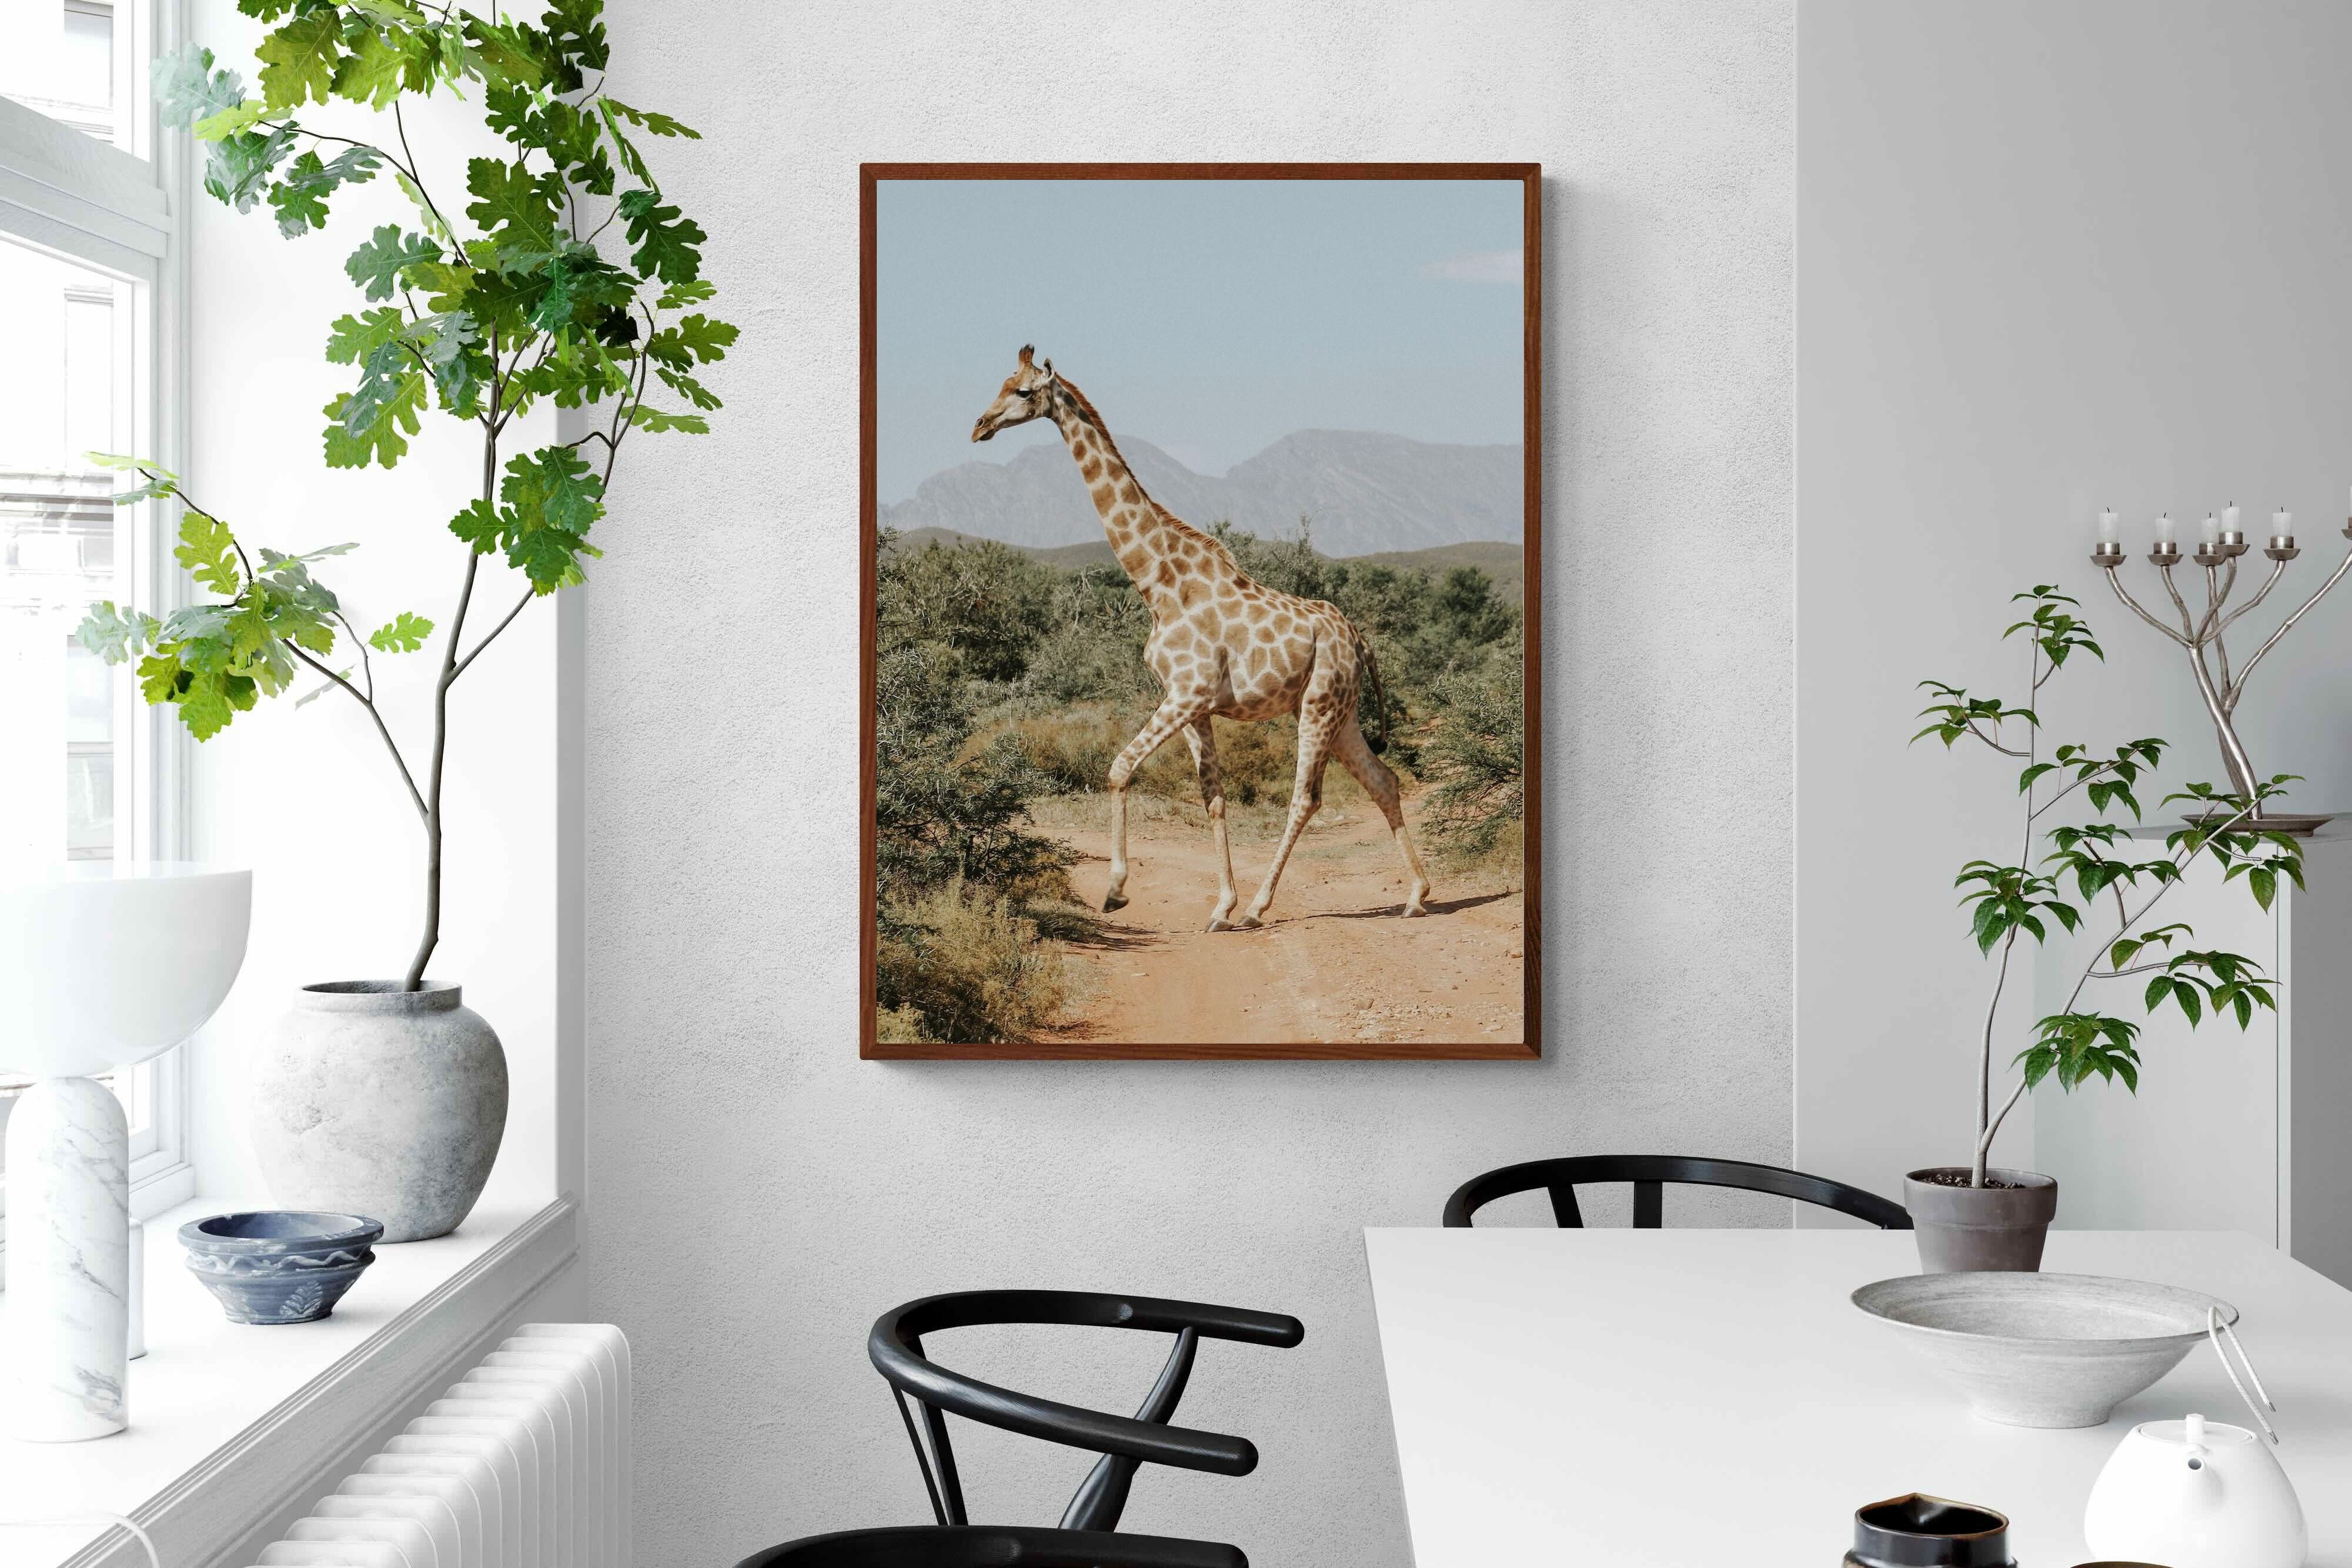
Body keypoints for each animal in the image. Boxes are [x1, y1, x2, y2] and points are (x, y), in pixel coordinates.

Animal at [971, 345, 1432, 932]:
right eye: (1001, 383)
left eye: (1025, 391)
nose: (980, 426)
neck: (1158, 583)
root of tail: (1358, 639)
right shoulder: (1192, 705)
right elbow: (1213, 797)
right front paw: (1220, 906)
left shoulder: (1187, 694)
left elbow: (1120, 768)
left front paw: (1117, 890)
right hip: (1342, 711)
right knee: (1384, 780)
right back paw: (1416, 894)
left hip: (1319, 705)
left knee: (1306, 798)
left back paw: (1261, 907)